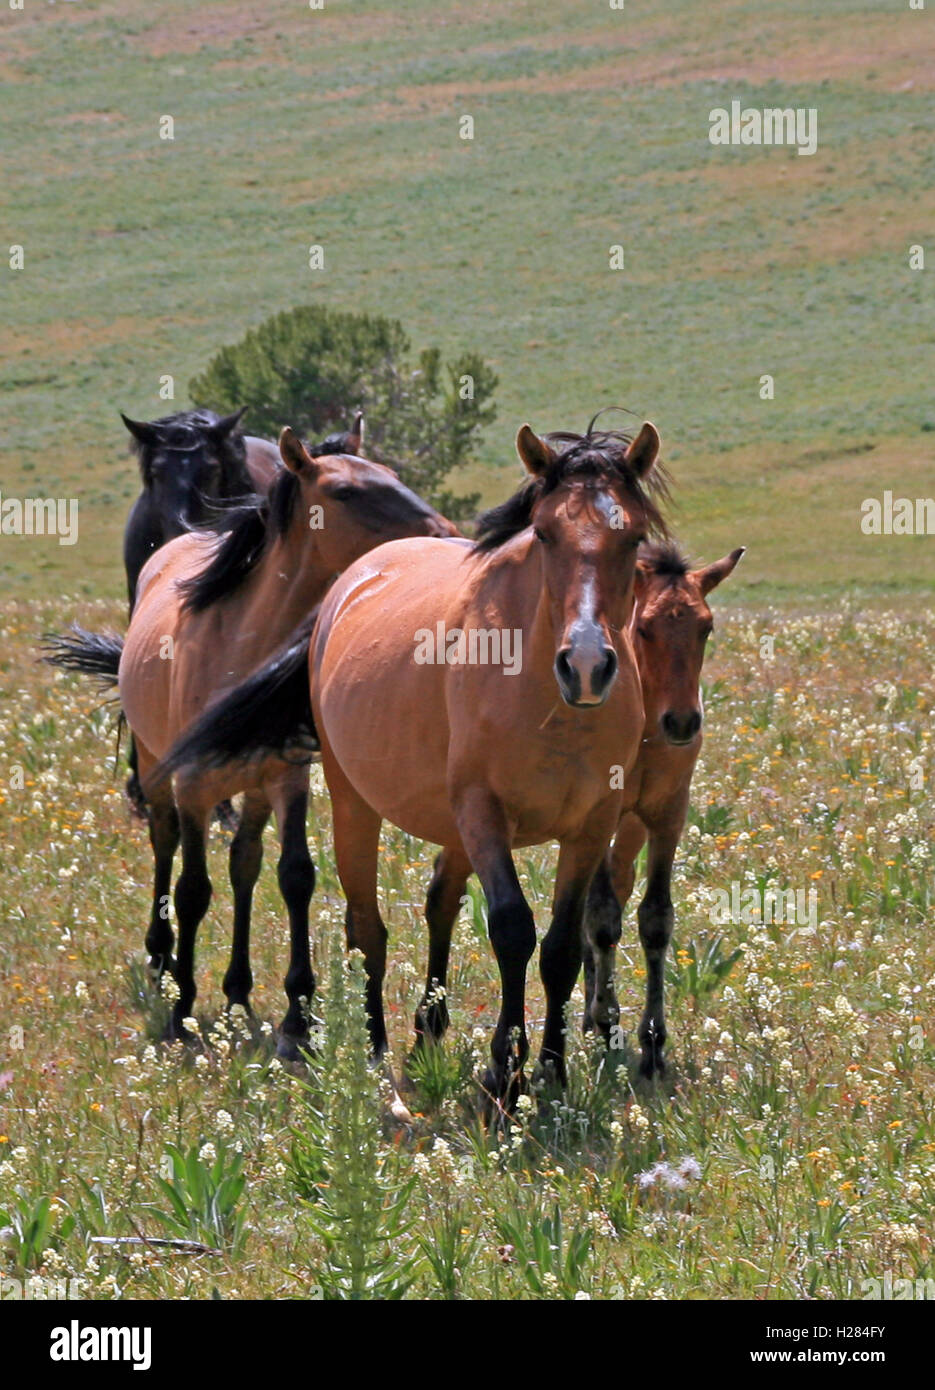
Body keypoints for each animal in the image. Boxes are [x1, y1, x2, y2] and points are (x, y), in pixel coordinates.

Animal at [43, 427, 456, 1056]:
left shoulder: (287, 780)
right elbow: (192, 888)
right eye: (345, 491)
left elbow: (294, 877)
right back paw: (162, 961)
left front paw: (298, 1016)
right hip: (158, 769)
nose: (444, 534)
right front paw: (183, 1009)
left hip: (254, 789)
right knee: (165, 847)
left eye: (389, 473)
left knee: (245, 864)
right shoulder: (192, 786)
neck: (238, 645)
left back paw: (238, 992)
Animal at [580, 539, 744, 1077]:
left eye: (705, 626)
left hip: (633, 825)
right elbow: (602, 917)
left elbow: (655, 919)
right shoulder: (597, 813)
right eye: (645, 627)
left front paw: (652, 1042)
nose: (683, 722)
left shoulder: (669, 815)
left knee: (618, 877)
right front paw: (607, 1019)